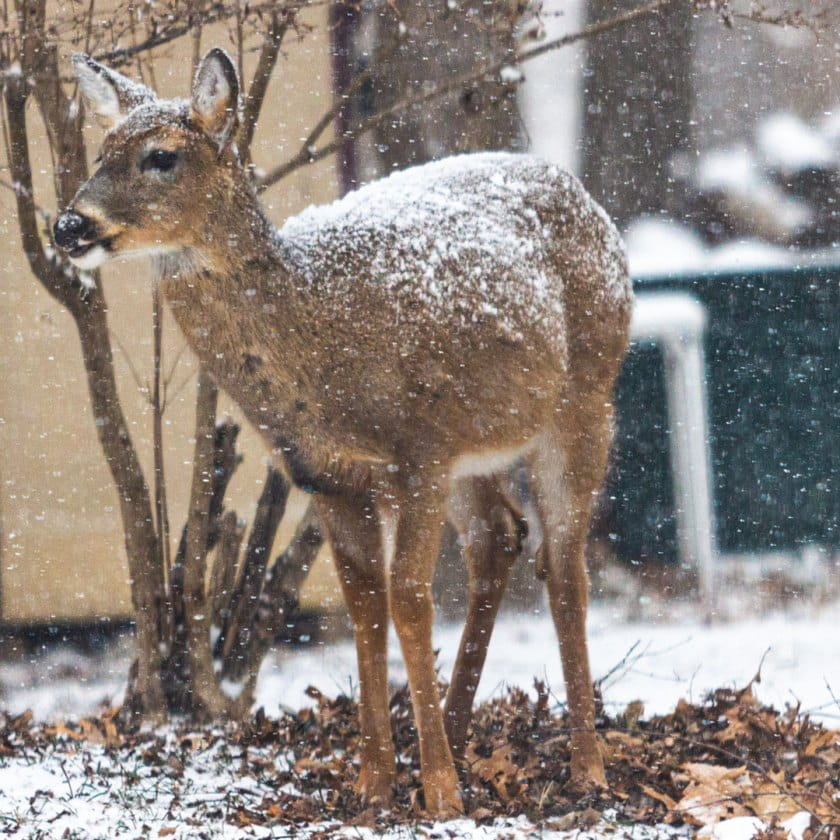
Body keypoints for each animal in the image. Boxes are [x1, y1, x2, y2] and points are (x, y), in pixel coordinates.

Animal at [54, 48, 633, 817]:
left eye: (160, 157)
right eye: (100, 151)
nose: (68, 226)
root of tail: (596, 209)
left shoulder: (420, 450)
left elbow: (410, 599)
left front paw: (440, 794)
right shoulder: (328, 473)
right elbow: (364, 605)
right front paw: (376, 782)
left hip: (583, 400)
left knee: (566, 566)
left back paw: (585, 768)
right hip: (477, 451)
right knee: (499, 537)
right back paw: (454, 731)